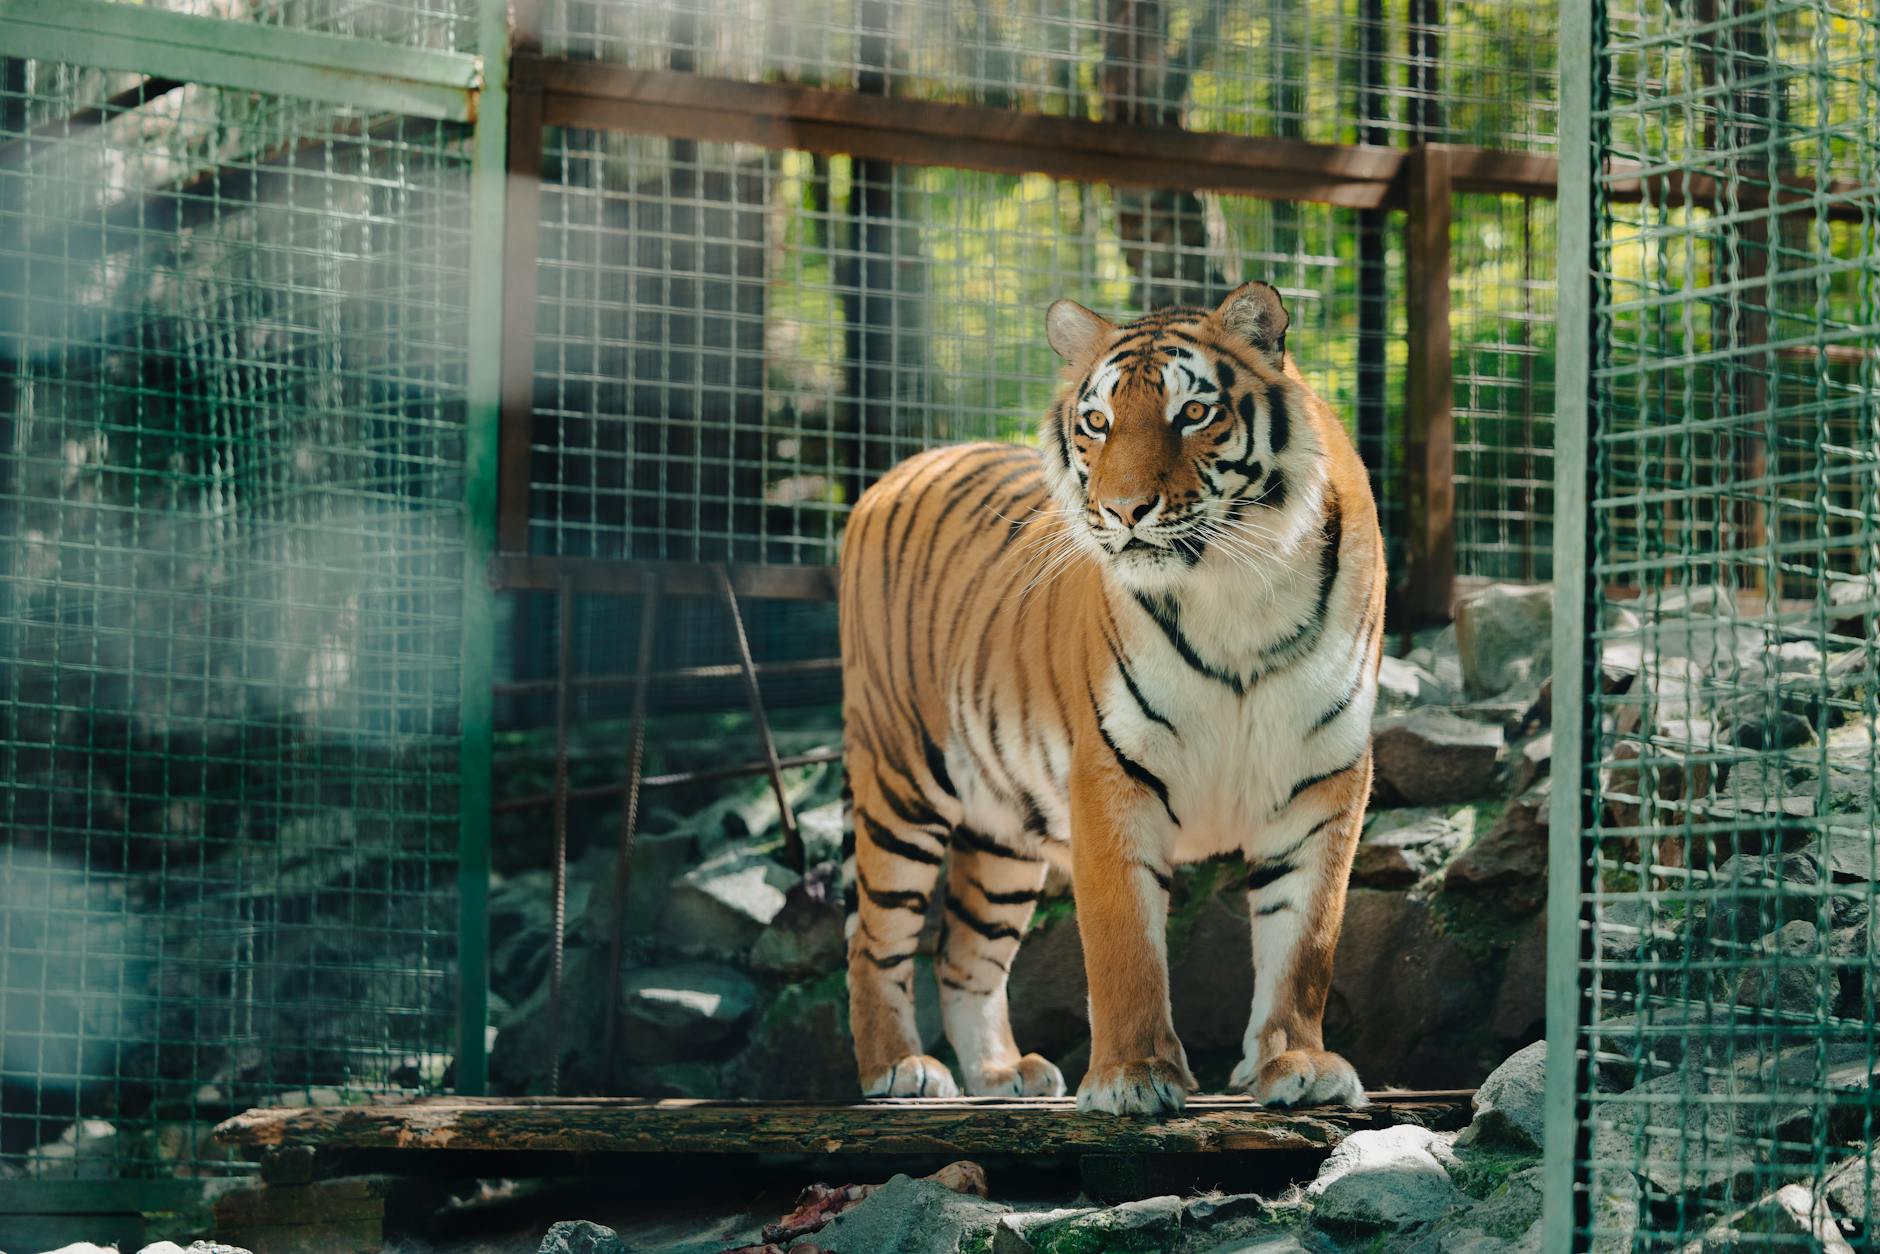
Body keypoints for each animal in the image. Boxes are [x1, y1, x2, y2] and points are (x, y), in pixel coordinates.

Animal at [837, 280, 1385, 1116]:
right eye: (1097, 422)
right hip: (902, 781)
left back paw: (1000, 1074)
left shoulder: (1325, 778)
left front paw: (1298, 1064)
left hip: (1003, 830)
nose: (1126, 510)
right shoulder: (1111, 772)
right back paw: (899, 1069)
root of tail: (903, 469)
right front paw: (1134, 1076)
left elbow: (1305, 942)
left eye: (1193, 412)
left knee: (964, 954)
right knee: (873, 939)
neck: (1238, 591)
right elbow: (1124, 943)